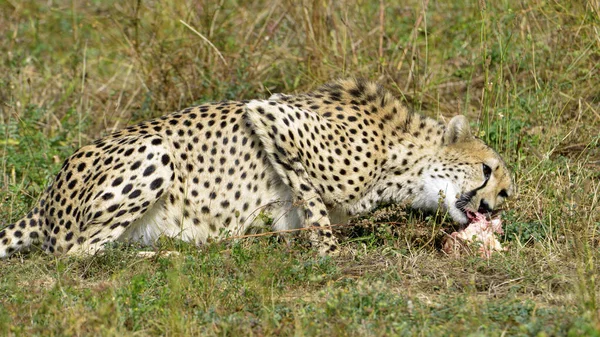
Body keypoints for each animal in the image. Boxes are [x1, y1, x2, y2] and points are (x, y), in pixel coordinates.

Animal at [0, 79, 516, 258]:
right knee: (71, 253)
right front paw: (330, 252)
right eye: (487, 172)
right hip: (153, 150)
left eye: (504, 190)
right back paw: (156, 256)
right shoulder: (271, 115)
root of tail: (46, 196)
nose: (495, 207)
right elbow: (314, 204)